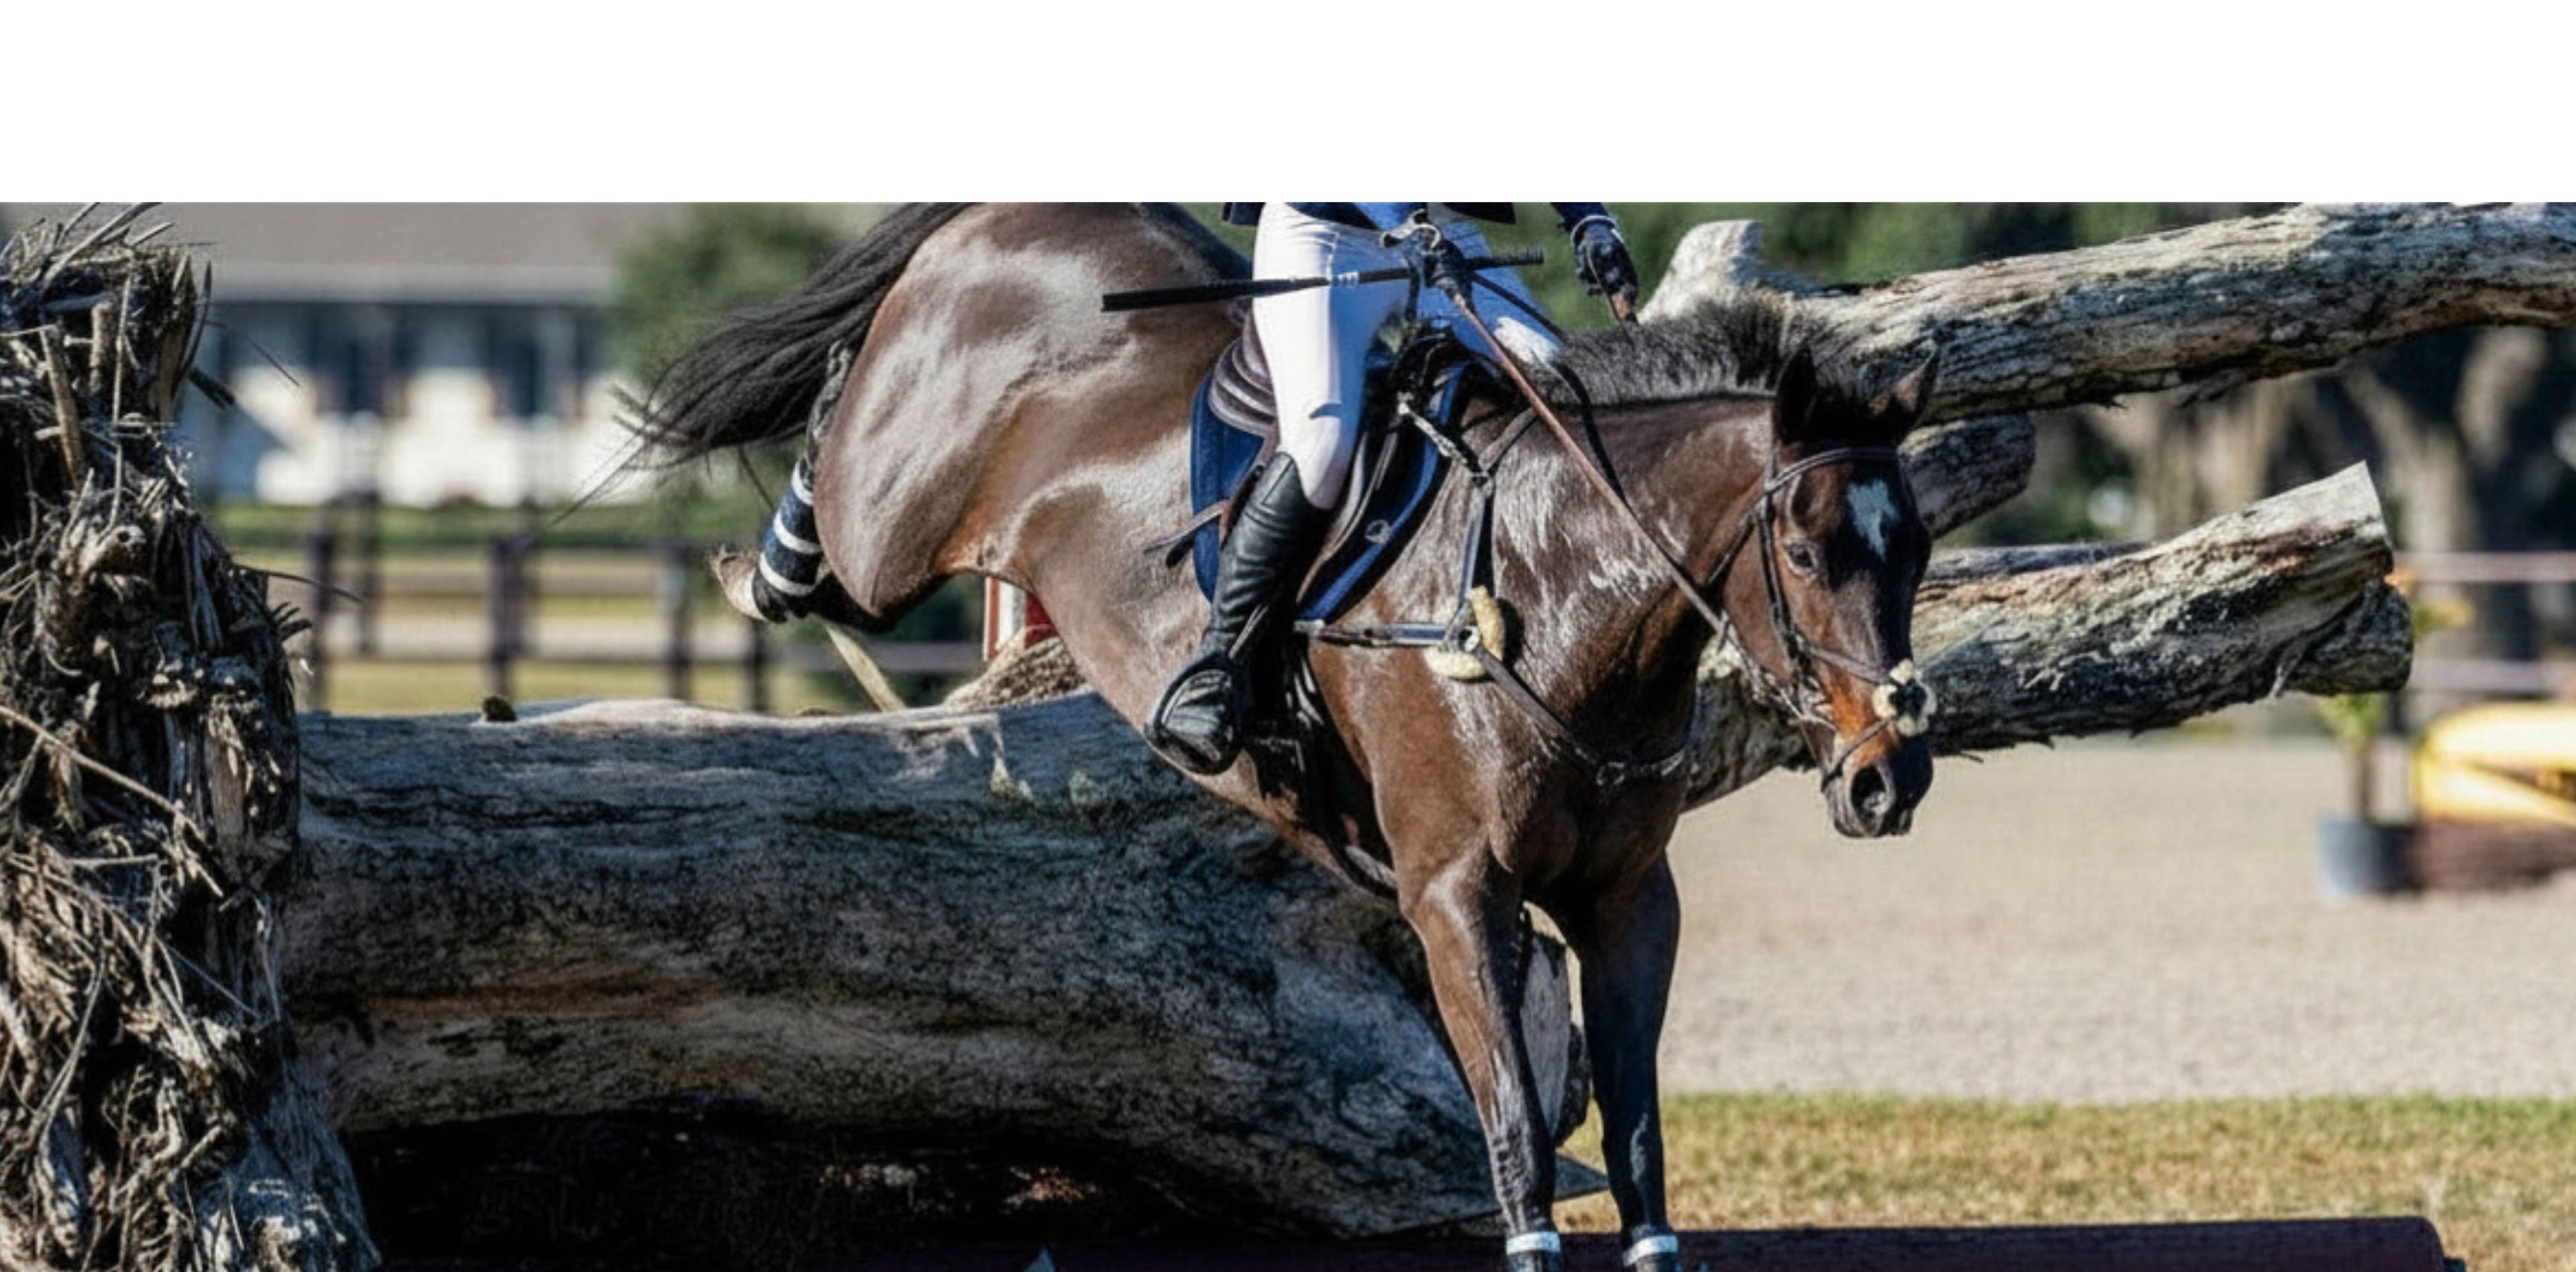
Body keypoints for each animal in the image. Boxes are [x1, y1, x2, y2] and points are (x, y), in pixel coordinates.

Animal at [632, 203, 1940, 1272]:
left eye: (1920, 545)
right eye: (1806, 554)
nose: (1892, 781)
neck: (1552, 581)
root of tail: (1008, 214)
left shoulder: (1627, 899)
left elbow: (1637, 1145)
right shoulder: (1456, 894)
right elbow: (1517, 1136)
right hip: (894, 525)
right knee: (837, 478)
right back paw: (766, 557)